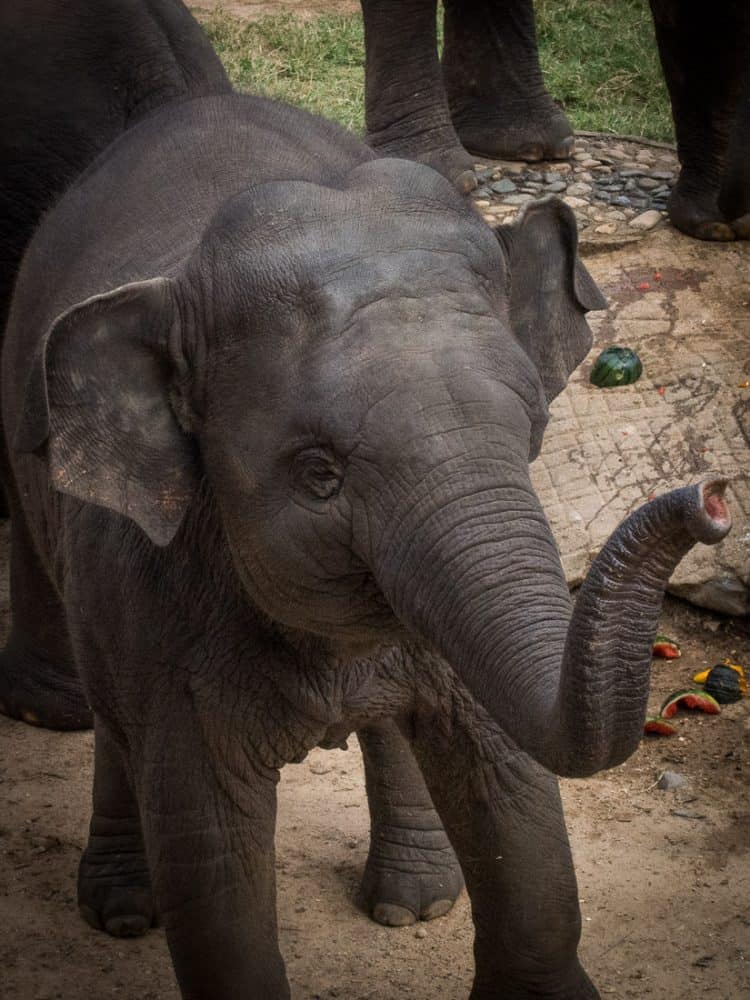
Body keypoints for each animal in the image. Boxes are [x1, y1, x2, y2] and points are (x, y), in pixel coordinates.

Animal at [2, 90, 732, 996]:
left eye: (532, 426)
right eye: (318, 473)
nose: (712, 495)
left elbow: (510, 781)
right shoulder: (155, 595)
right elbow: (210, 854)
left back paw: (415, 905)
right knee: (108, 704)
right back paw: (123, 911)